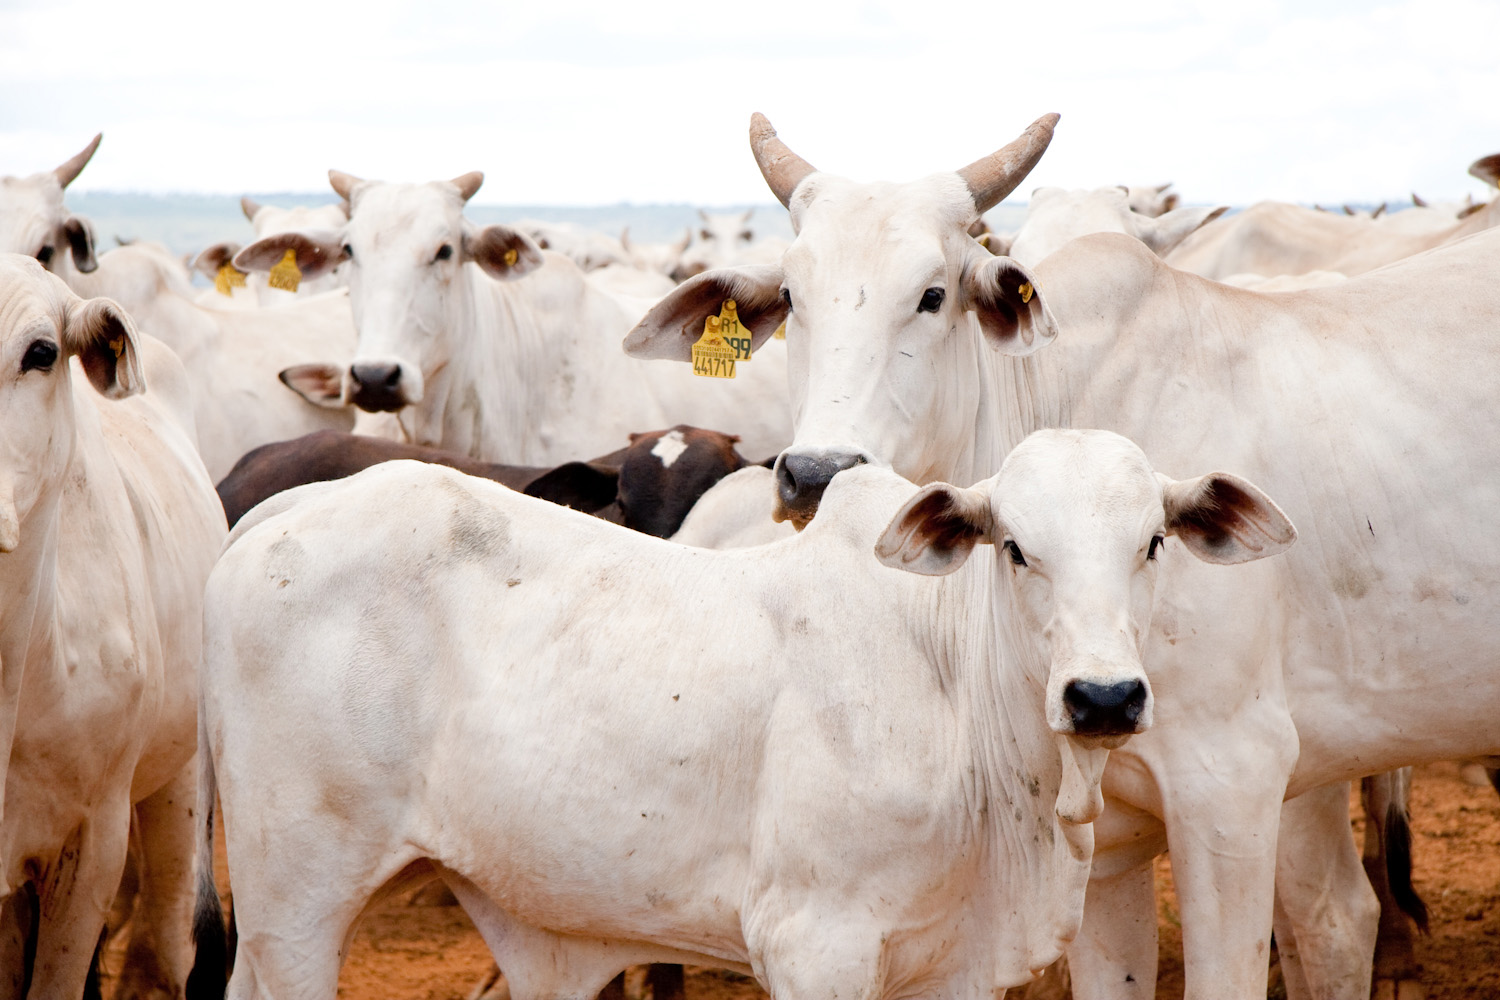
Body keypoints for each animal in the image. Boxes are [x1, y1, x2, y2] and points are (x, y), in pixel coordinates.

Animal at [190, 431, 1290, 1000]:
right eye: (1015, 547)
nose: (1103, 696)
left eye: (1153, 541)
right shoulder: (814, 944)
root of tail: (282, 511)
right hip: (296, 899)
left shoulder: (949, 966)